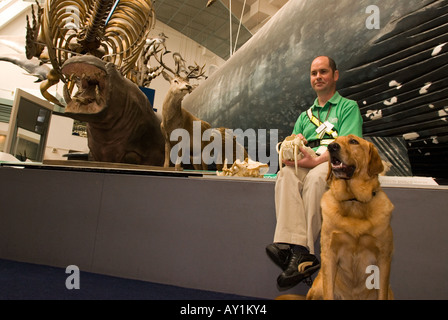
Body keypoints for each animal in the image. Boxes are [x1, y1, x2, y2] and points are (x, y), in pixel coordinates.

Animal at [306, 135, 394, 300]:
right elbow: (329, 291)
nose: (332, 147)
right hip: (318, 286)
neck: (353, 202)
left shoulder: (383, 257)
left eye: (354, 141)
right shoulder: (329, 254)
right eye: (334, 140)